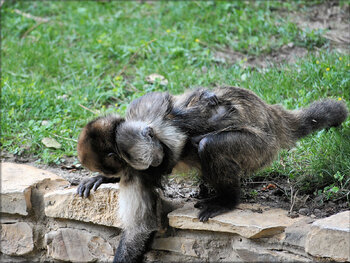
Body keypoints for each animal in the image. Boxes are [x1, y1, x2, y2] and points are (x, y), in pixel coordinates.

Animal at [76, 87, 348, 263]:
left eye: (123, 161)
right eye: (117, 166)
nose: (157, 163)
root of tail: (271, 116)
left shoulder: (151, 140)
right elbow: (138, 227)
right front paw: (102, 178)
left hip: (261, 148)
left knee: (209, 144)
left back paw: (227, 200)